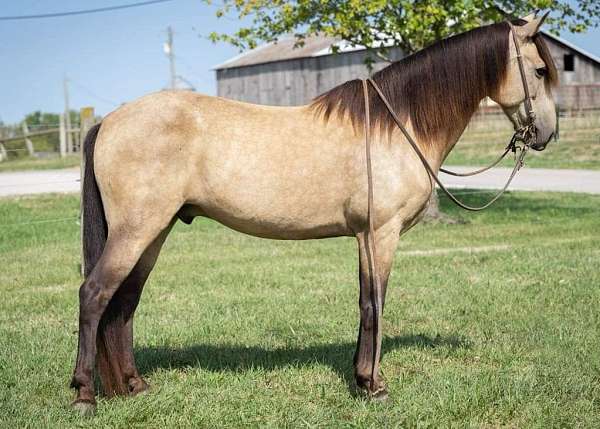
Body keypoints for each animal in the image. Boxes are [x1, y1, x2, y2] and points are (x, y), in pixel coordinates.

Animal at [69, 15, 556, 412]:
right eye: (539, 70)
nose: (547, 134)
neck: (395, 125)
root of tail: (110, 120)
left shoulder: (363, 237)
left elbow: (365, 301)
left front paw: (361, 380)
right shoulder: (380, 234)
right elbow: (374, 302)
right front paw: (374, 386)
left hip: (154, 231)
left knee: (124, 302)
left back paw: (134, 386)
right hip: (137, 230)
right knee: (94, 295)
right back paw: (84, 395)